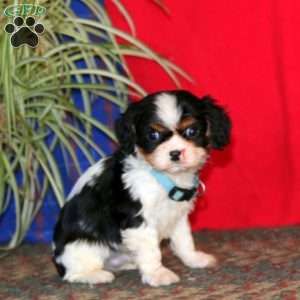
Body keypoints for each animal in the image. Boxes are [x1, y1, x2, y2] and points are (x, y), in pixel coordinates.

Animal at [52, 90, 231, 288]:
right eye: (153, 135)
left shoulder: (178, 216)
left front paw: (193, 259)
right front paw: (157, 274)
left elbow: (184, 241)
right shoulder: (137, 220)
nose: (175, 153)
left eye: (192, 131)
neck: (164, 177)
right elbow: (151, 250)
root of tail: (57, 258)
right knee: (72, 273)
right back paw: (95, 275)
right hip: (83, 247)